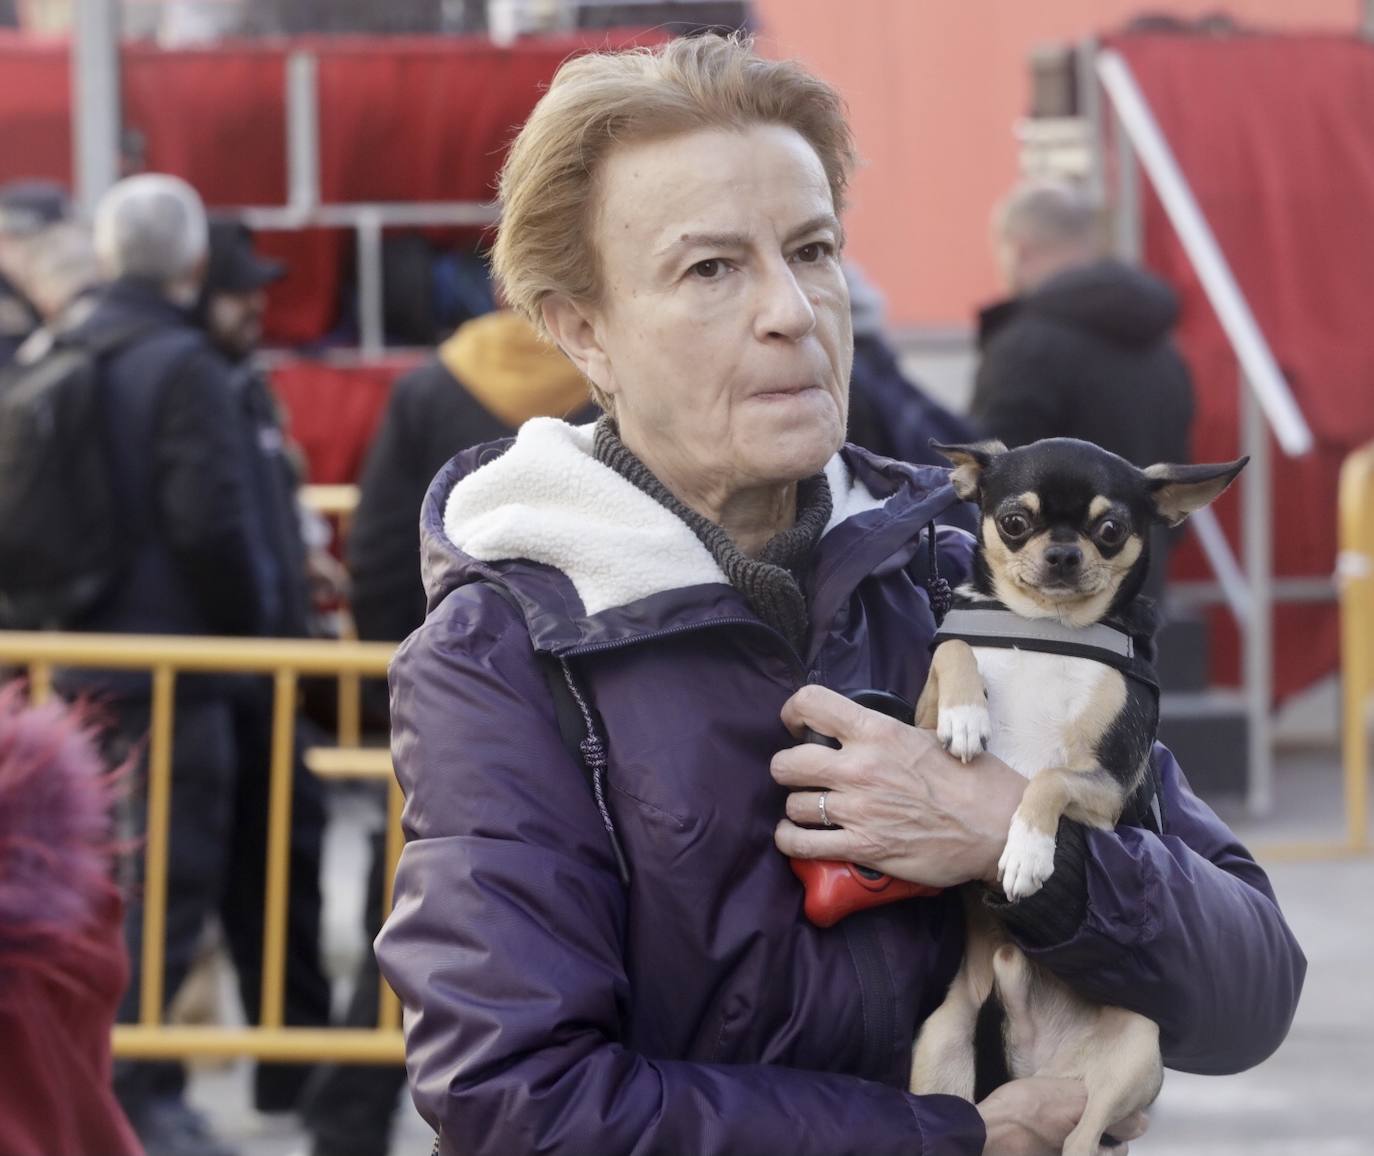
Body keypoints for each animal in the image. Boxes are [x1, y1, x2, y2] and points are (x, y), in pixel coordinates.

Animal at [912, 437, 1247, 1154]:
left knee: (1083, 1139)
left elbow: (1048, 778)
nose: (1064, 553)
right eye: (1015, 522)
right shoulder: (918, 724)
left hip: (1136, 1049)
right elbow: (952, 647)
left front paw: (1029, 854)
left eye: (1110, 530)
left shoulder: (1111, 786)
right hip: (940, 1042)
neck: (1048, 630)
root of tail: (1036, 1059)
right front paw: (966, 715)